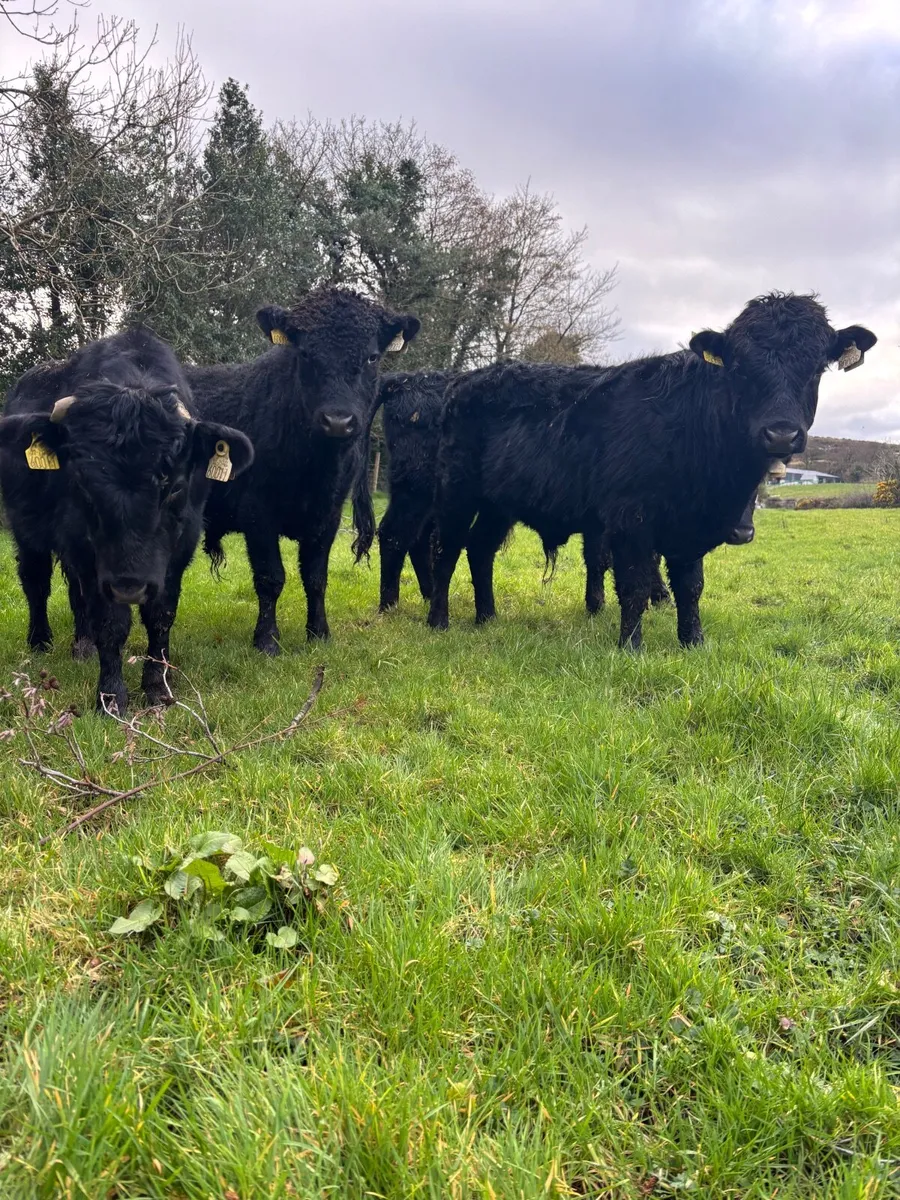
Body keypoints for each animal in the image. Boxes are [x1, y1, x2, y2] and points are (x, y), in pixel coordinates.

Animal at [0, 328, 254, 713]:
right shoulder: (86, 551)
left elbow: (160, 616)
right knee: (36, 582)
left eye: (174, 487)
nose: (129, 586)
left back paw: (83, 645)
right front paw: (111, 697)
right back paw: (41, 640)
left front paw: (158, 688)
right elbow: (110, 622)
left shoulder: (179, 550)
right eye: (82, 483)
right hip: (27, 532)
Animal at [184, 286, 420, 653]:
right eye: (306, 354)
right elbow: (270, 577)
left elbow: (315, 576)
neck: (316, 469)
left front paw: (319, 632)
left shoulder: (329, 516)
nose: (337, 421)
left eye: (371, 357)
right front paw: (267, 640)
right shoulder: (257, 513)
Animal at [426, 293, 876, 648]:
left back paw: (487, 617)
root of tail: (466, 380)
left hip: (498, 503)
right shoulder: (630, 518)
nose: (781, 433)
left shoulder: (686, 528)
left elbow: (691, 586)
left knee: (480, 549)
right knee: (447, 550)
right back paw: (438, 621)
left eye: (816, 368)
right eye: (740, 368)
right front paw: (630, 646)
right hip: (455, 491)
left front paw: (693, 642)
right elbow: (634, 584)